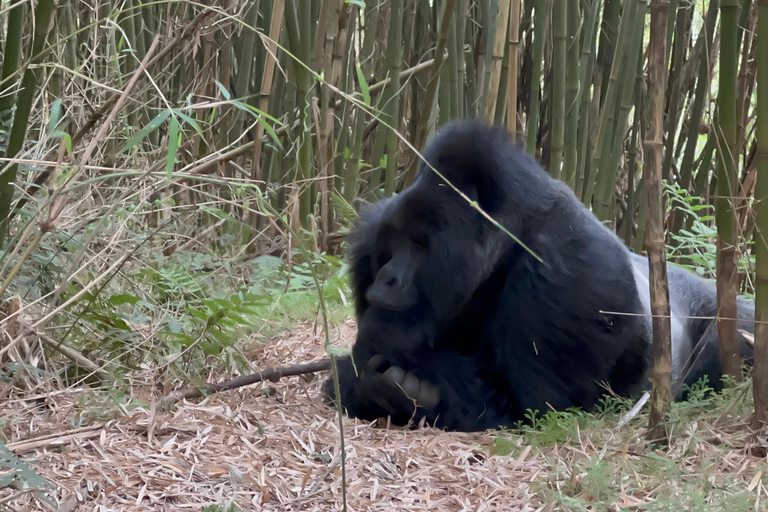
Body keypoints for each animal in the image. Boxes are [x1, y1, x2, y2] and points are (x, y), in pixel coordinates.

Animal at [320, 119, 756, 432]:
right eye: (393, 243)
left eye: (420, 243)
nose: (387, 279)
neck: (510, 235)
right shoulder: (368, 236)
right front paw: (370, 381)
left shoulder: (569, 271)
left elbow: (537, 407)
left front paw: (386, 357)